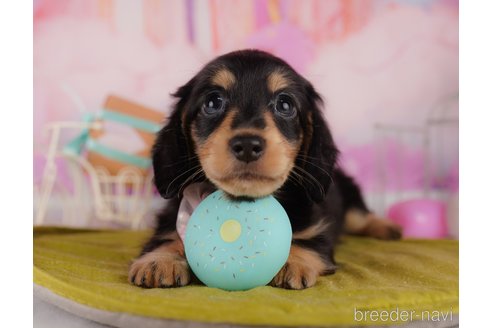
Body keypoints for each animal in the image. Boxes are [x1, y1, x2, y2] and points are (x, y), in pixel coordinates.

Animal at [128, 49, 400, 290]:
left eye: (285, 104)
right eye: (213, 102)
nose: (248, 145)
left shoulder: (317, 229)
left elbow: (306, 242)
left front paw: (292, 262)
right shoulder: (171, 219)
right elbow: (167, 238)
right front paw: (159, 261)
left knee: (360, 216)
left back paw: (387, 227)